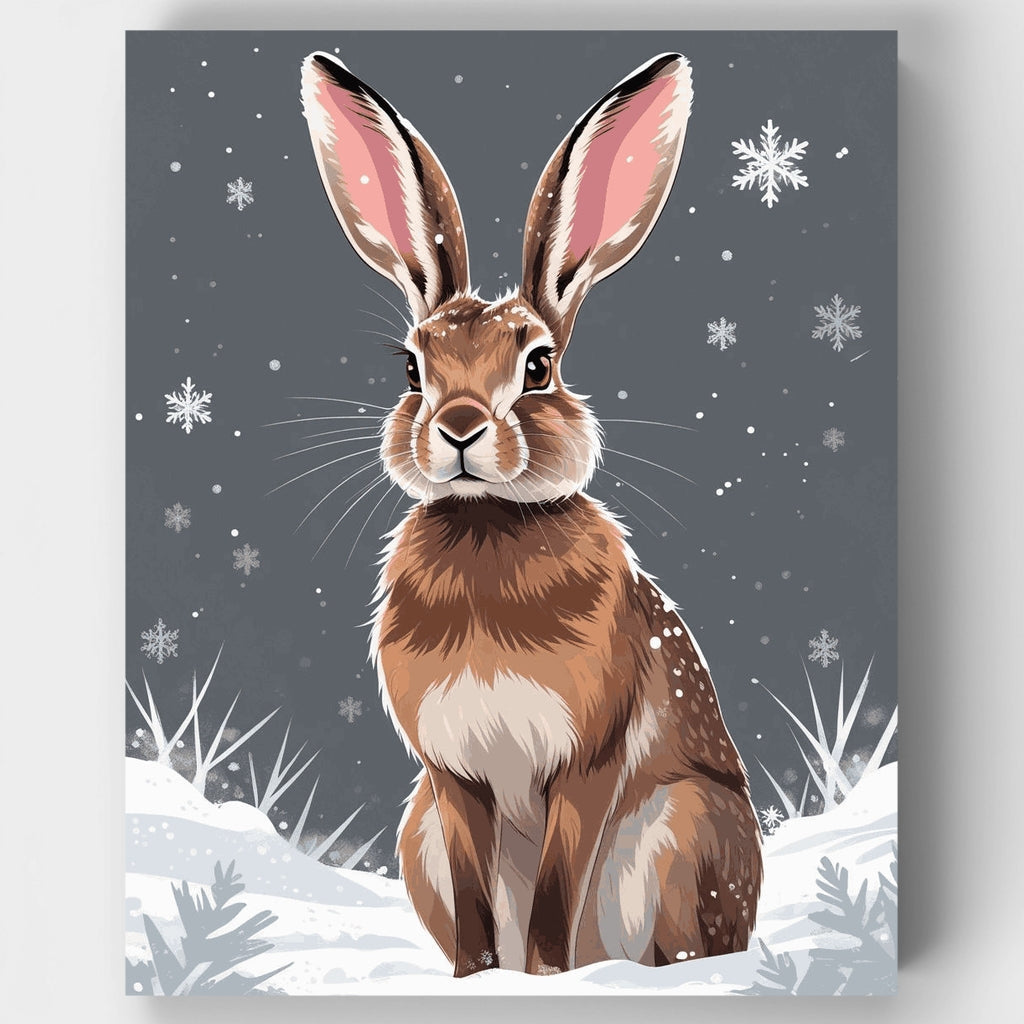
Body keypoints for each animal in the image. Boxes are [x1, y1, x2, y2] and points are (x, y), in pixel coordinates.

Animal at [301, 49, 762, 978]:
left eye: (539, 366)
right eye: (413, 370)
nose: (459, 427)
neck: (489, 526)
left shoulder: (586, 761)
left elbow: (556, 886)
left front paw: (547, 979)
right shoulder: (450, 780)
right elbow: (477, 901)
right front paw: (475, 980)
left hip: (684, 828)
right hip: (415, 829)